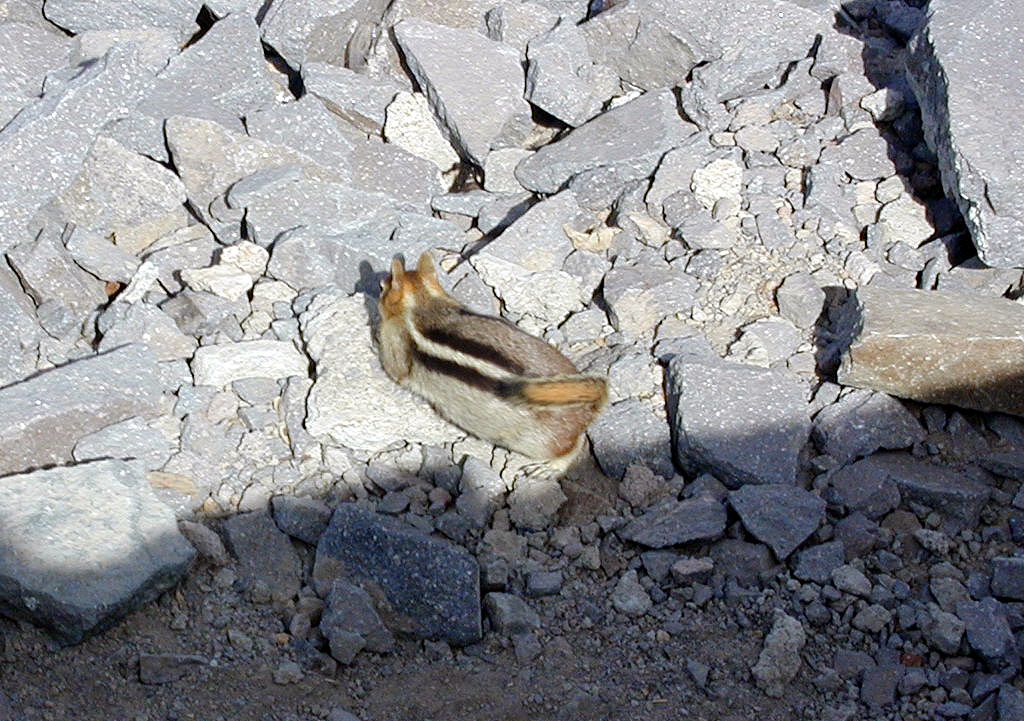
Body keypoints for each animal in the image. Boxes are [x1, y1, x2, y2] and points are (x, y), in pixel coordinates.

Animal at [378, 251, 608, 476]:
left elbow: (392, 369)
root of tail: (589, 407)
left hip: (537, 441)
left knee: (574, 446)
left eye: (382, 287)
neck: (423, 302)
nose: (380, 284)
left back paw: (550, 466)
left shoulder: (394, 346)